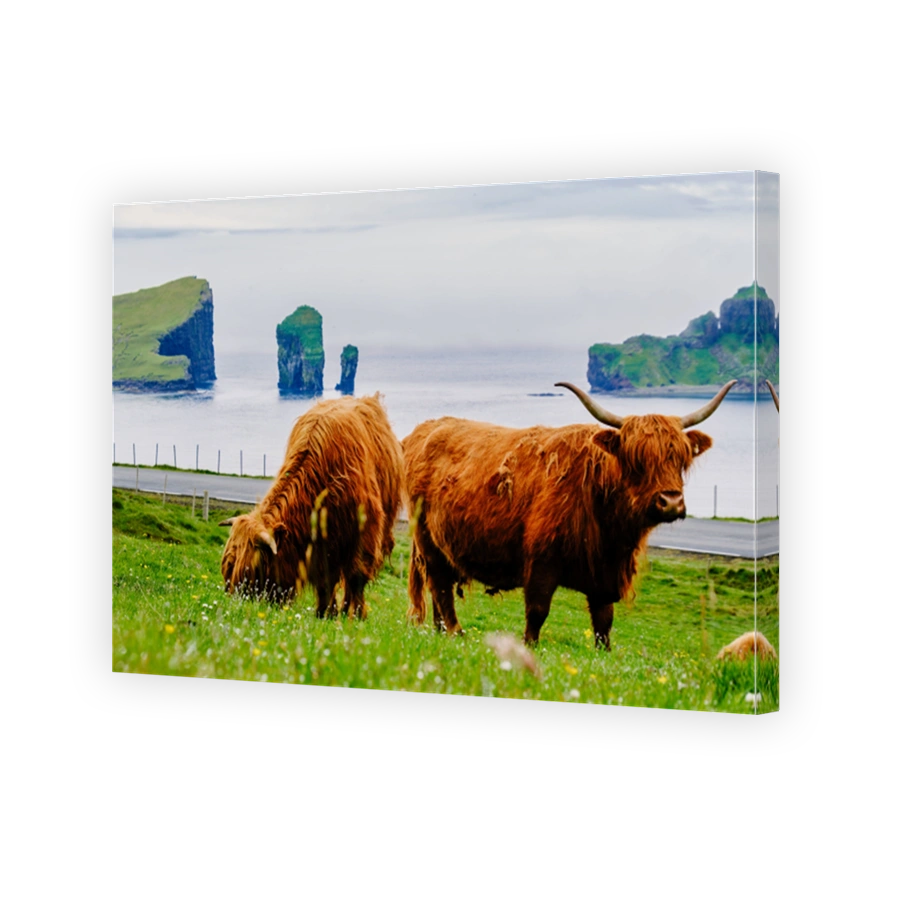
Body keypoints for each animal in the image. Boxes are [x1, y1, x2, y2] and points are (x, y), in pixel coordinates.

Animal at [220, 394, 404, 619]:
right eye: (227, 569)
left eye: (250, 574)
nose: (236, 609)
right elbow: (325, 580)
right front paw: (325, 613)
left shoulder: (364, 530)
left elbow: (357, 575)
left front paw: (355, 614)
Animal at [403, 380, 736, 650]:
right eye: (636, 459)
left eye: (681, 458)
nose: (671, 501)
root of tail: (423, 430)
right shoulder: (541, 561)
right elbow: (537, 612)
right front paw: (529, 647)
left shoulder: (605, 576)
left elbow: (604, 623)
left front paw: (604, 653)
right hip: (428, 541)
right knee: (440, 585)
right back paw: (456, 632)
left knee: (439, 587)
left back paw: (440, 630)